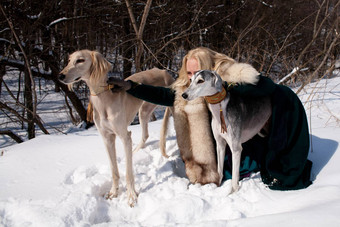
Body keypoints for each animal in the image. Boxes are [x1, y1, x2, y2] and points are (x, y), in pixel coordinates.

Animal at [58, 49, 174, 206]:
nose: (60, 76)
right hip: (144, 110)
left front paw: (131, 196)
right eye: (69, 60)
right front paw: (113, 192)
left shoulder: (125, 136)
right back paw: (135, 151)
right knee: (145, 135)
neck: (104, 99)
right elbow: (114, 171)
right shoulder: (107, 138)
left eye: (80, 60)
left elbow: (129, 173)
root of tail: (164, 71)